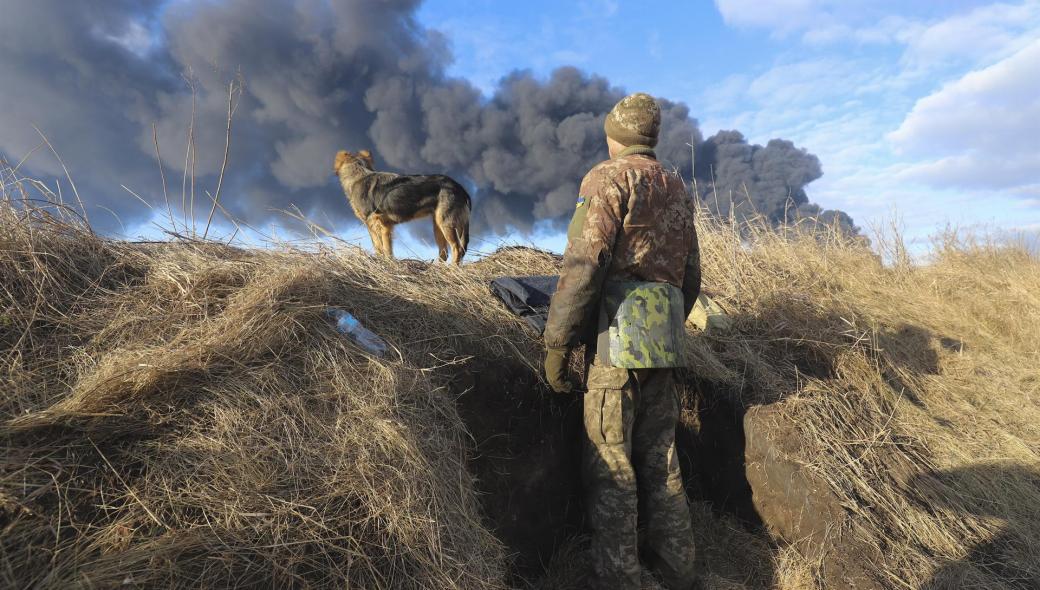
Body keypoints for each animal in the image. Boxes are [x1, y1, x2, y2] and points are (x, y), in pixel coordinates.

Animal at [332, 149, 472, 265]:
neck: (358, 173)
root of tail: (460, 188)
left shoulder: (378, 224)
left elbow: (382, 248)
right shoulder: (381, 226)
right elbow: (383, 248)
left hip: (446, 223)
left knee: (457, 249)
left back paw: (452, 269)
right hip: (438, 225)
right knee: (444, 253)